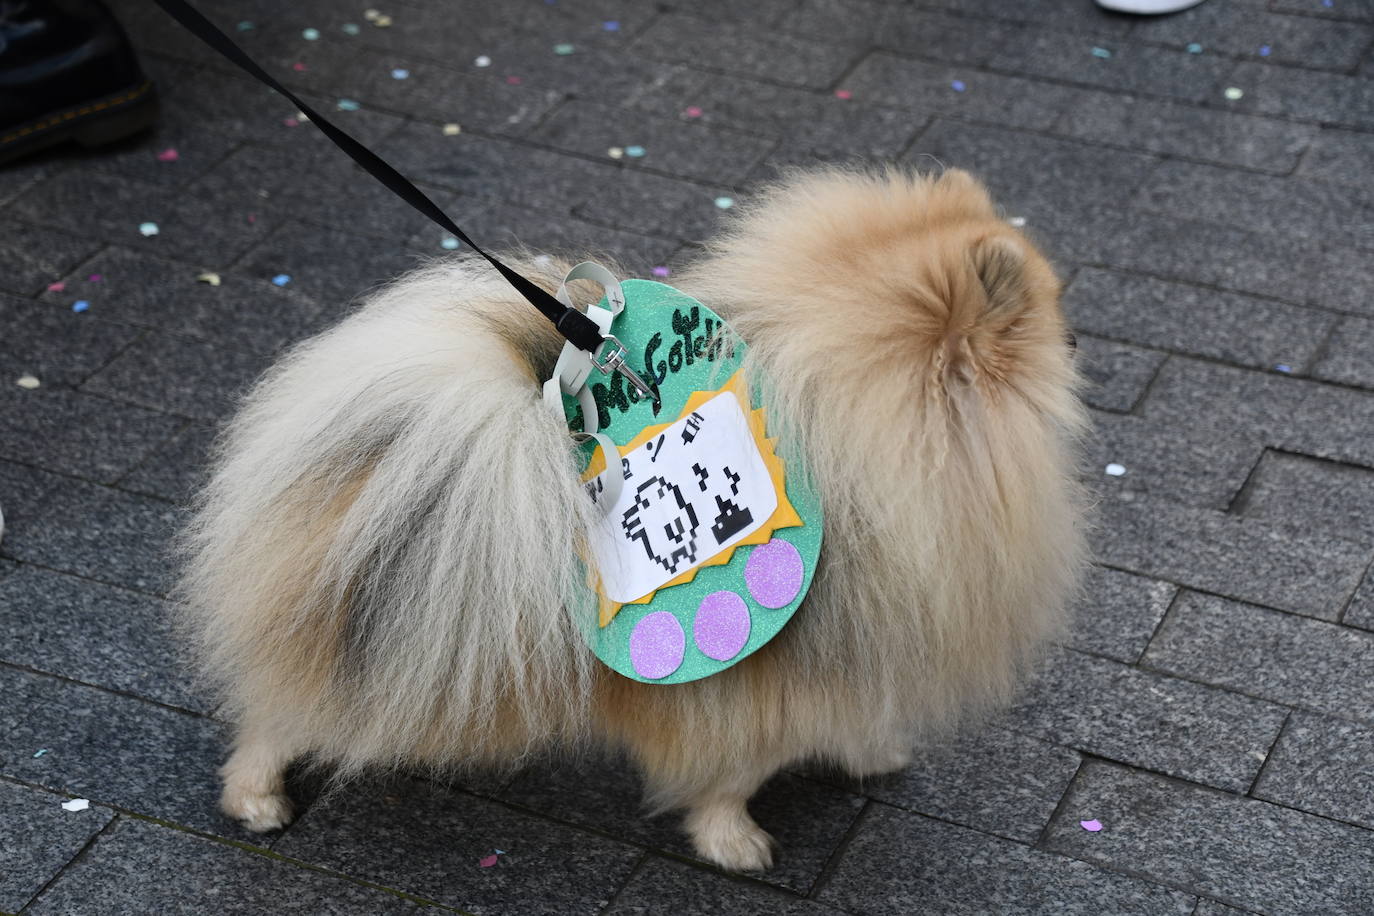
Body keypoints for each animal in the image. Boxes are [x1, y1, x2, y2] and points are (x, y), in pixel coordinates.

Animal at [179, 168, 1082, 873]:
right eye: (1048, 313)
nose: (1079, 340)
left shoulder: (854, 644)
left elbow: (856, 714)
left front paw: (874, 754)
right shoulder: (758, 682)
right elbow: (736, 772)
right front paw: (734, 841)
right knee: (277, 718)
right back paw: (256, 798)